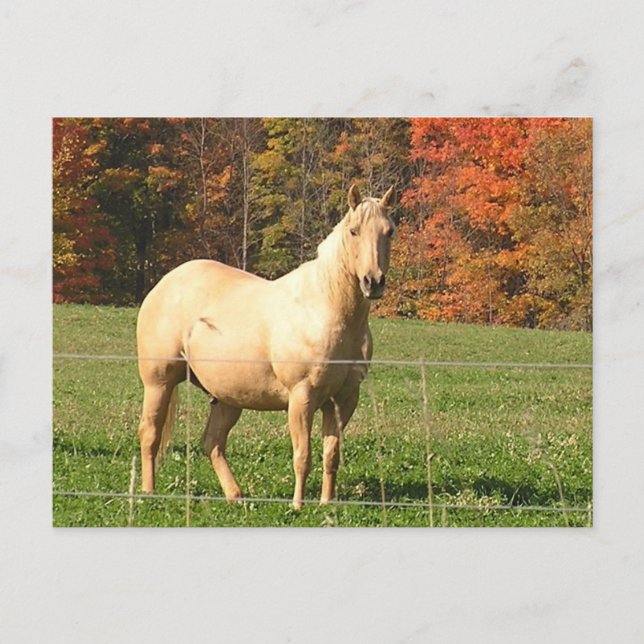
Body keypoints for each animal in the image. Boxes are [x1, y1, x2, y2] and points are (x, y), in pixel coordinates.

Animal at [136, 183, 396, 510]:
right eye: (353, 231)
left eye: (390, 231)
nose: (373, 282)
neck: (327, 309)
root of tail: (163, 285)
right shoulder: (302, 398)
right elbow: (302, 457)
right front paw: (297, 506)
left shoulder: (343, 400)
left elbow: (331, 456)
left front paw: (326, 504)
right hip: (159, 383)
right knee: (150, 434)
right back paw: (148, 492)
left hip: (227, 398)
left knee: (212, 443)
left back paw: (235, 496)